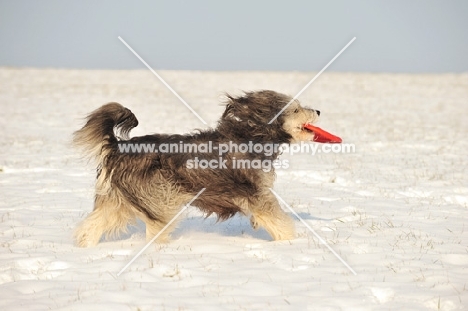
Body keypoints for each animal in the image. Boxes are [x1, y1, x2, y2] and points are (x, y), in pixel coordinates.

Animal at [74, 91, 322, 249]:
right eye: (296, 109)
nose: (318, 111)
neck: (250, 137)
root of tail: (118, 147)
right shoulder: (258, 194)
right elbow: (279, 221)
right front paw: (290, 242)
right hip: (160, 198)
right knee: (155, 227)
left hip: (117, 200)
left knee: (92, 225)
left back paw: (84, 249)